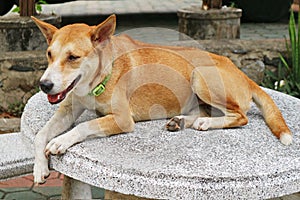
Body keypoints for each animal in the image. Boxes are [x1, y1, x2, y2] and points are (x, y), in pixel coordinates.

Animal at [31, 14, 292, 184]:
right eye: (49, 54)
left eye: (73, 57)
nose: (44, 85)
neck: (99, 77)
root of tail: (244, 74)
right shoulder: (67, 109)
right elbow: (40, 134)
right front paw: (39, 167)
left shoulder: (123, 119)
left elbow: (83, 126)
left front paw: (61, 141)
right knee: (204, 112)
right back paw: (183, 121)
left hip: (200, 75)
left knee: (240, 116)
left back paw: (205, 123)